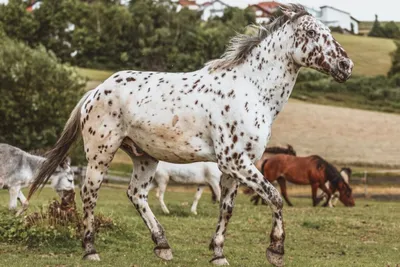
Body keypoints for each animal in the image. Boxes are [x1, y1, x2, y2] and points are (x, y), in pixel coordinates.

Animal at [28, 5, 354, 266]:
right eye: (311, 32)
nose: (346, 65)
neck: (252, 90)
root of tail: (95, 91)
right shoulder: (235, 161)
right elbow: (274, 197)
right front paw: (275, 250)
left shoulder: (235, 167)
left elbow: (227, 208)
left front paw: (218, 253)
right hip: (100, 154)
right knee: (89, 193)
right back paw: (90, 249)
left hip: (144, 157)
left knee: (136, 194)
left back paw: (162, 245)